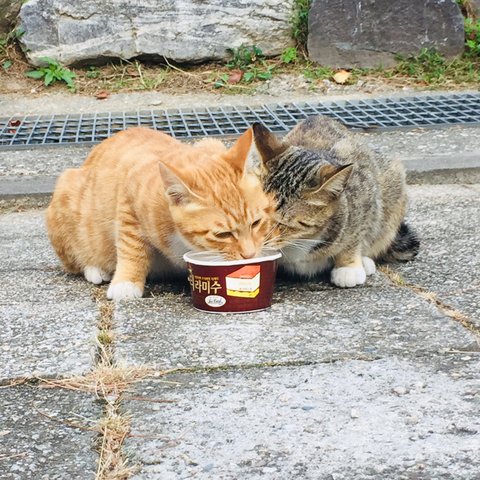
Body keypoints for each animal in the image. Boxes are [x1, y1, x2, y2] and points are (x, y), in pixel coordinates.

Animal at [46, 127, 275, 301]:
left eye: (256, 223)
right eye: (223, 234)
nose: (250, 255)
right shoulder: (129, 198)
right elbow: (132, 248)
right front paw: (126, 283)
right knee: (76, 262)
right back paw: (95, 268)